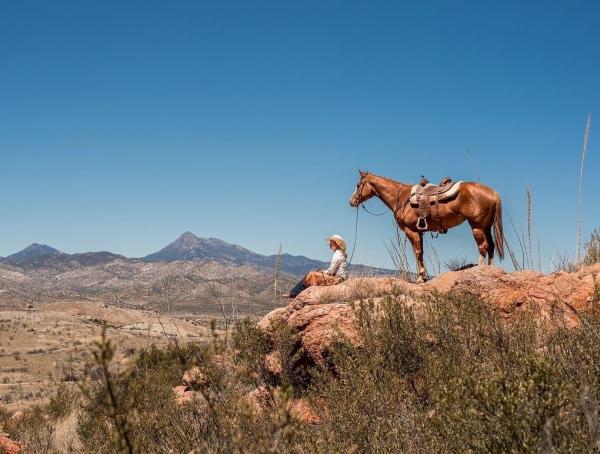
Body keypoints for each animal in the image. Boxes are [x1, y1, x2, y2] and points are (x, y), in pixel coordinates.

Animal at [350, 171, 504, 282]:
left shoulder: (411, 230)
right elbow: (421, 252)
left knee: (483, 247)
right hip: (486, 227)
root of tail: (493, 192)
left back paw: (480, 270)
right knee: (491, 247)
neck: (402, 197)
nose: (351, 201)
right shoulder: (420, 231)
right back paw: (490, 270)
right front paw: (423, 276)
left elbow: (417, 252)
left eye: (358, 185)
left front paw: (420, 277)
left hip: (477, 226)